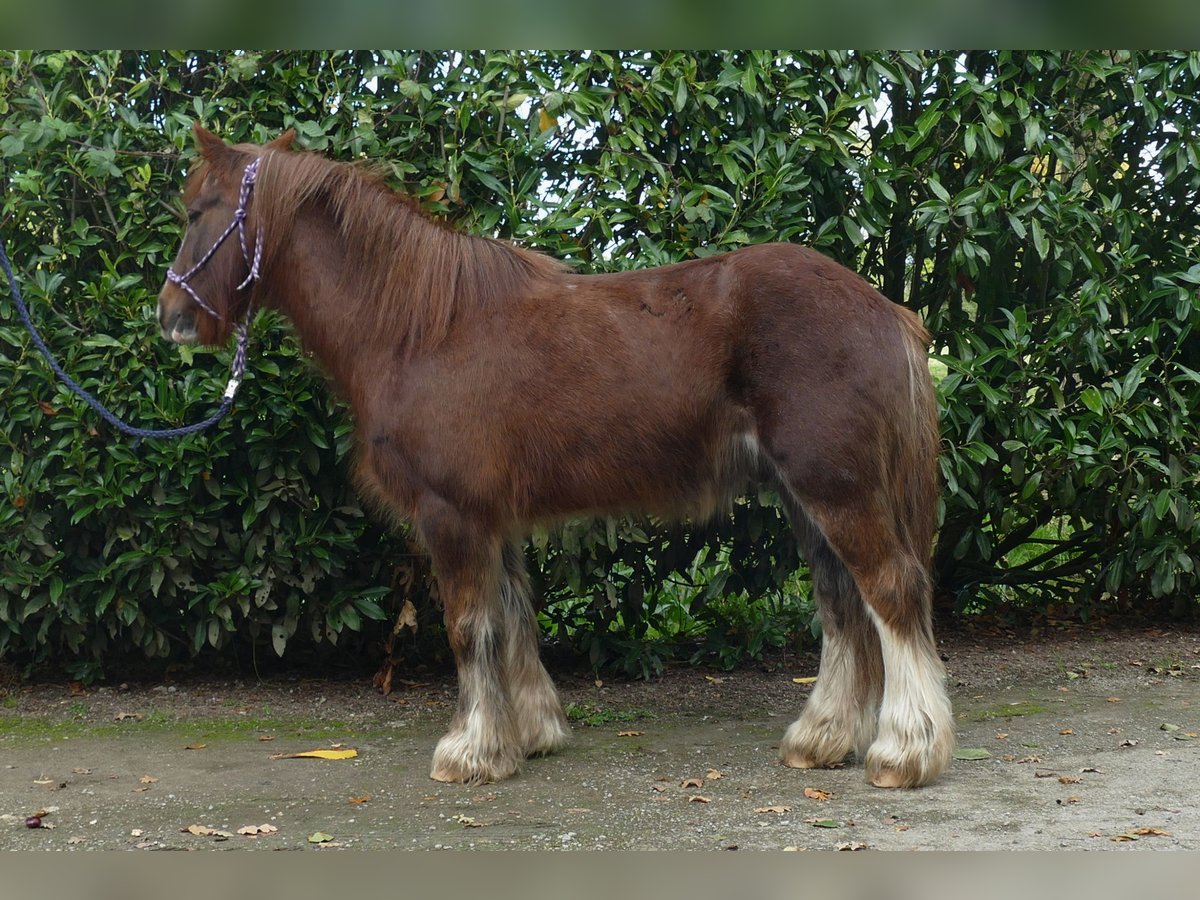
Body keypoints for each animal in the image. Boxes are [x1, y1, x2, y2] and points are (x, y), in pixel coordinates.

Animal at [154, 125, 950, 787]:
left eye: (198, 211)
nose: (171, 317)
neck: (418, 329)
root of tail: (886, 309)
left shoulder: (451, 515)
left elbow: (469, 627)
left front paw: (470, 751)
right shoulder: (491, 519)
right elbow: (512, 617)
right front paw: (531, 734)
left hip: (835, 488)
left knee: (892, 590)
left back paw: (904, 752)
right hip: (803, 495)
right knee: (843, 603)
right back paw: (822, 738)